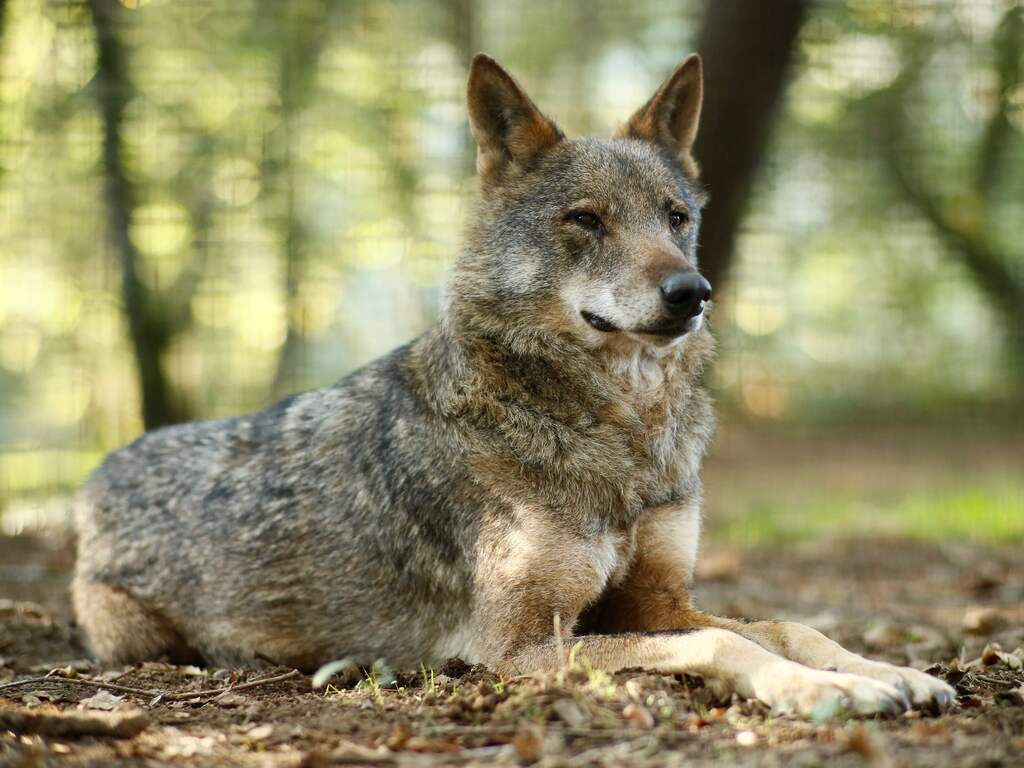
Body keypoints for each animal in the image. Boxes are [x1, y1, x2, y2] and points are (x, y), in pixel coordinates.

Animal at [73, 54, 955, 716]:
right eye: (586, 220)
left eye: (675, 217)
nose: (693, 292)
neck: (622, 430)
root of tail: (96, 477)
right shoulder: (517, 645)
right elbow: (725, 639)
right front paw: (822, 693)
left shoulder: (657, 600)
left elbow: (788, 624)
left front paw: (890, 671)